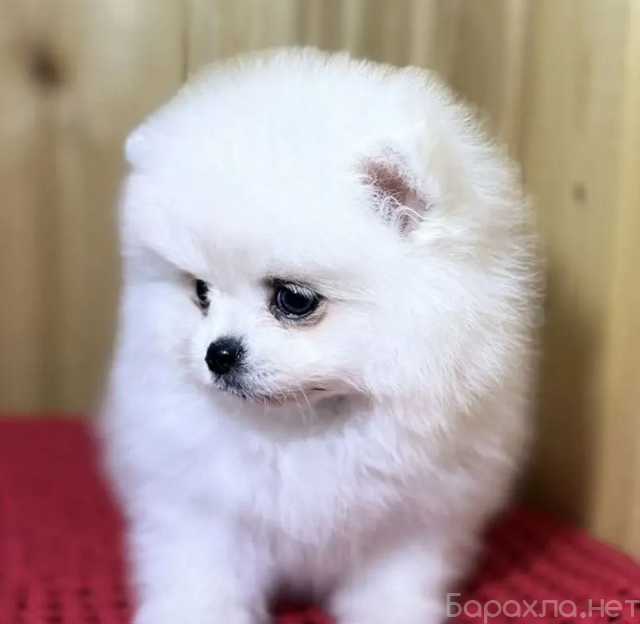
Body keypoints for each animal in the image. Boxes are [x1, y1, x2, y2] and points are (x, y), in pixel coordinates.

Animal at [101, 48, 541, 624]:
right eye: (200, 292)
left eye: (293, 299)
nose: (218, 354)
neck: (305, 425)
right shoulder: (198, 503)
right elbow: (203, 568)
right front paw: (195, 611)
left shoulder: (415, 516)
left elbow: (392, 578)